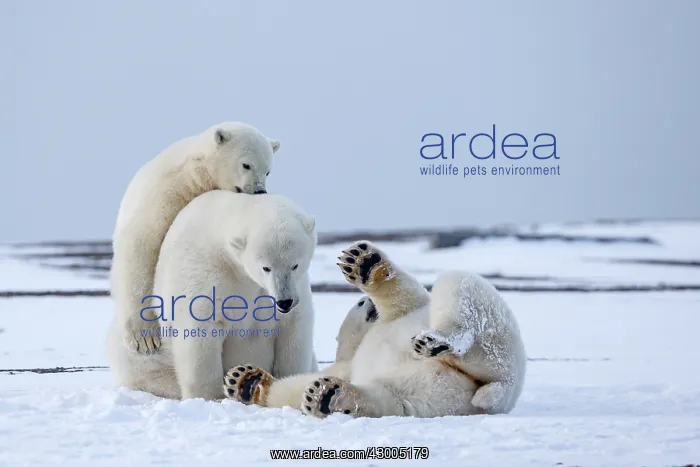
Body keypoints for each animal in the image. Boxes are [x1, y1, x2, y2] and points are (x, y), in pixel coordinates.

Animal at [106, 190, 318, 401]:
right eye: (266, 267)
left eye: (295, 265)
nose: (285, 301)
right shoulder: (207, 273)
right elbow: (200, 330)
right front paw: (211, 396)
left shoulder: (292, 291)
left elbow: (293, 332)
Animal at [110, 121, 281, 355]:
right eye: (246, 165)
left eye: (268, 170)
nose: (259, 191)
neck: (196, 176)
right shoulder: (165, 194)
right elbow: (141, 244)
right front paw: (145, 338)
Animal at [222, 240, 527, 418]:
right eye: (358, 303)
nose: (366, 302)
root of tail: (502, 386)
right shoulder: (347, 365)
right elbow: (294, 388)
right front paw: (245, 381)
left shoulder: (402, 314)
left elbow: (407, 298)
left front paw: (363, 262)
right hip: (446, 390)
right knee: (394, 395)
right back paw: (329, 396)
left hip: (494, 337)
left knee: (460, 288)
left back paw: (437, 340)